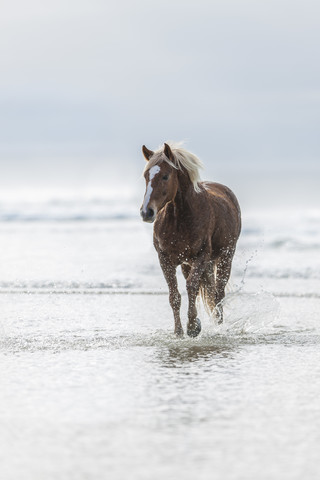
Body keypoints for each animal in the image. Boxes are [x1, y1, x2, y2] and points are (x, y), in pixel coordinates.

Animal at [140, 142, 240, 338]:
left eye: (165, 176)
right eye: (146, 176)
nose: (146, 212)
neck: (180, 219)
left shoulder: (201, 256)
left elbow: (192, 287)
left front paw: (193, 327)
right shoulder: (165, 259)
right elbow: (175, 295)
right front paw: (179, 332)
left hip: (225, 258)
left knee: (218, 294)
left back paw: (218, 325)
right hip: (188, 264)